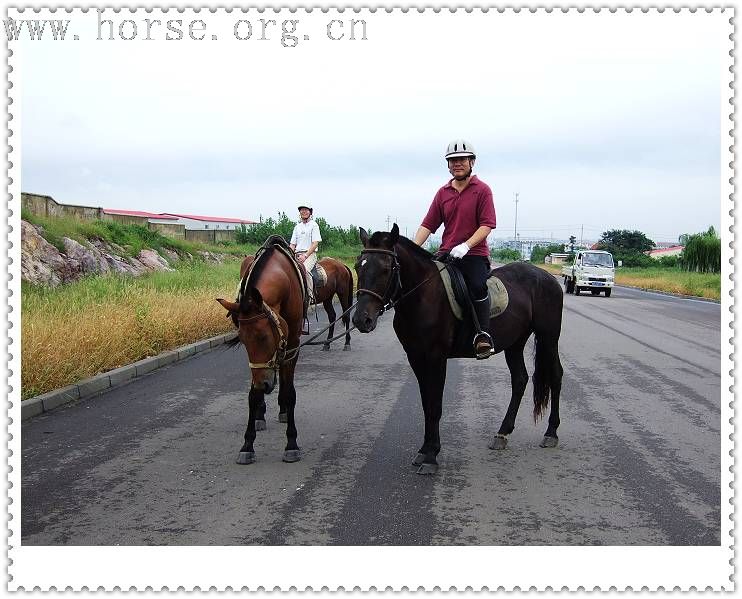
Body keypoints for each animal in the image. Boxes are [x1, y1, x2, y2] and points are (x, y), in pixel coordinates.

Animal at [218, 237, 306, 466]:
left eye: (264, 337)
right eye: (243, 340)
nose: (263, 384)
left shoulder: (292, 344)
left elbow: (290, 391)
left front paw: (291, 443)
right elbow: (252, 395)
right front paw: (247, 444)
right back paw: (261, 414)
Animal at [354, 225, 564, 474]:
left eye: (386, 269)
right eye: (357, 266)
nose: (361, 319)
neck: (422, 295)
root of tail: (549, 278)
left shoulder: (436, 357)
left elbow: (435, 405)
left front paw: (431, 456)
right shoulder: (416, 357)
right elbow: (426, 403)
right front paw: (424, 449)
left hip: (548, 337)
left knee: (556, 375)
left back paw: (551, 432)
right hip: (515, 343)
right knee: (520, 379)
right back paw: (502, 433)